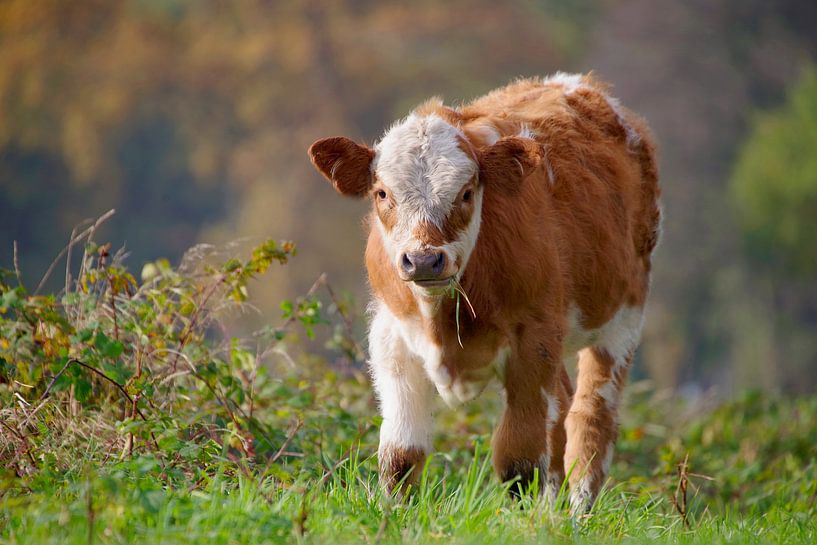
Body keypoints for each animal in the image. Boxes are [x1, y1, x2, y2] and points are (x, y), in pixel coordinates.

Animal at [308, 73, 661, 512]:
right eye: (382, 194)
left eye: (466, 193)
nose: (423, 260)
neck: (442, 319)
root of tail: (579, 84)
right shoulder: (391, 338)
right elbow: (401, 456)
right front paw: (393, 515)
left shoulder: (533, 340)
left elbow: (519, 459)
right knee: (563, 408)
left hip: (623, 318)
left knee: (590, 420)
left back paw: (578, 513)